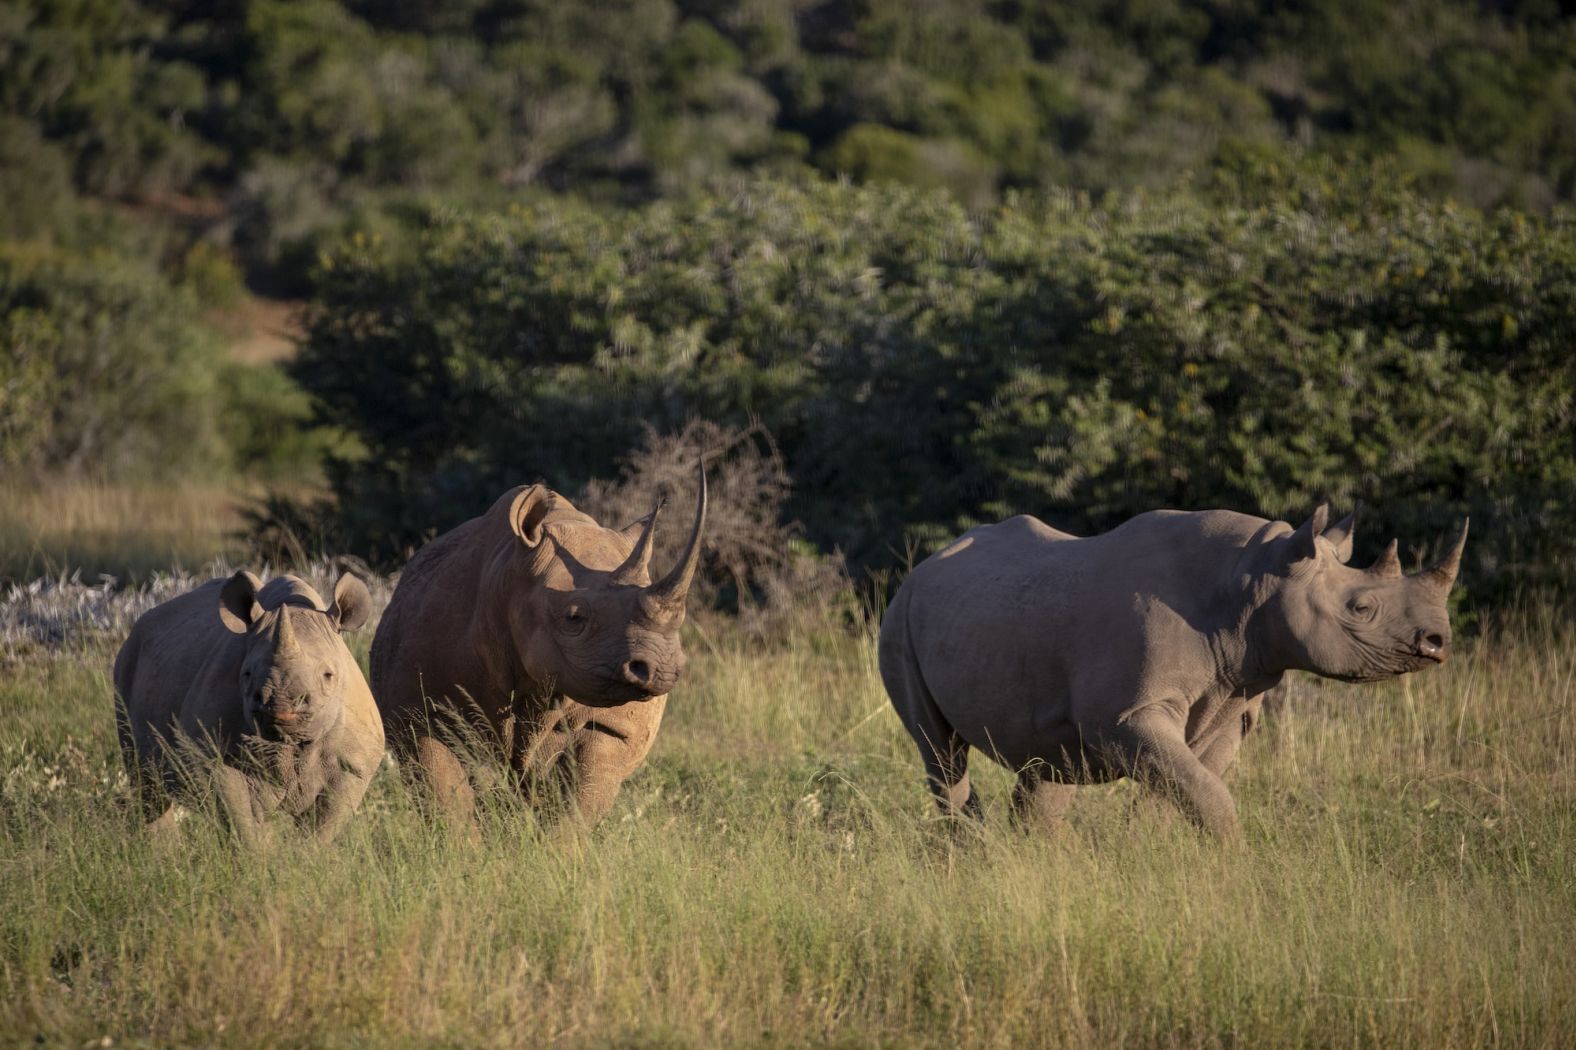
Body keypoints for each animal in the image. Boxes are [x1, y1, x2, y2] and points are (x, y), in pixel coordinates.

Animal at [115, 567, 384, 845]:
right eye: (246, 674)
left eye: (328, 675)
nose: (279, 704)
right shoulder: (213, 759)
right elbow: (242, 824)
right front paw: (261, 856)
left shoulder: (352, 765)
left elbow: (321, 829)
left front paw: (305, 854)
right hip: (127, 661)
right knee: (147, 785)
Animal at [882, 504, 1468, 838]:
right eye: (1360, 608)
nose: (1438, 643)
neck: (1254, 579)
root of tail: (925, 565)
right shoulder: (1130, 714)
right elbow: (1208, 794)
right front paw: (1231, 864)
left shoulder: (1235, 698)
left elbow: (1187, 790)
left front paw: (1156, 861)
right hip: (900, 617)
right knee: (940, 752)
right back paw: (973, 854)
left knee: (1050, 761)